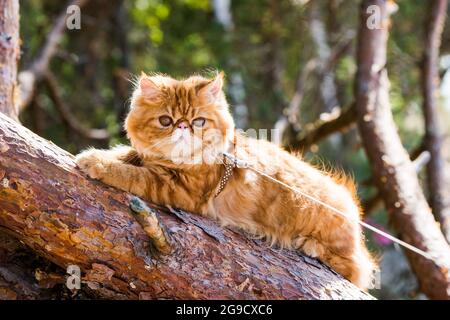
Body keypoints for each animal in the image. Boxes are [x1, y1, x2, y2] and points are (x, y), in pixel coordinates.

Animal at [74, 72, 376, 290]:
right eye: (165, 120)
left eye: (198, 121)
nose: (182, 126)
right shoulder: (151, 162)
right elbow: (125, 154)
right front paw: (94, 154)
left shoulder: (176, 187)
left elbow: (130, 173)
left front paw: (97, 164)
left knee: (356, 269)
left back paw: (310, 246)